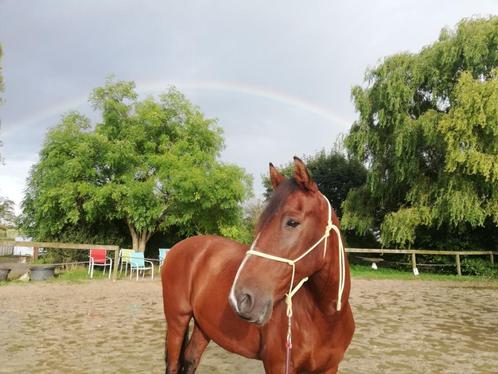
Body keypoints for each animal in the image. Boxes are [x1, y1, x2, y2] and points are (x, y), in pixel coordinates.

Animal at [162, 158, 354, 374]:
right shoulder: (278, 365)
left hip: (203, 327)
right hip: (177, 320)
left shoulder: (329, 367)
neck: (326, 318)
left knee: (190, 359)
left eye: (292, 222)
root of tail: (177, 248)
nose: (240, 299)